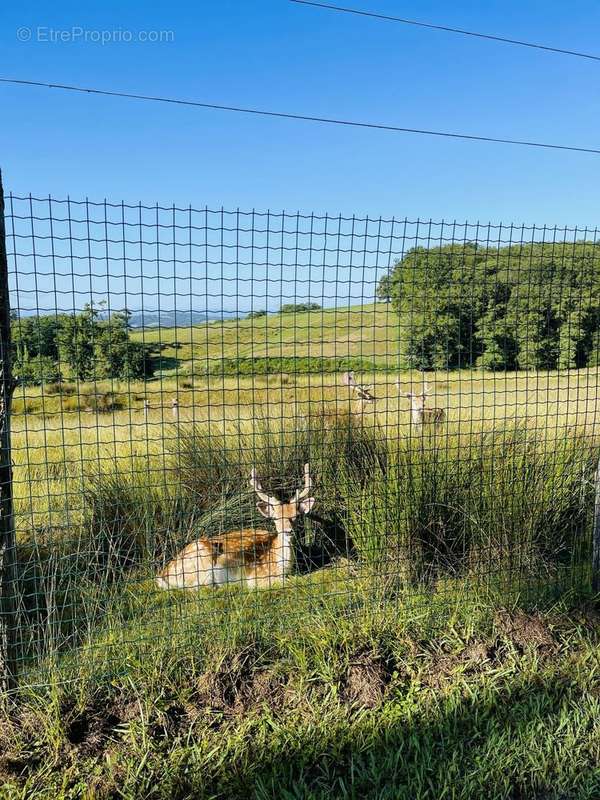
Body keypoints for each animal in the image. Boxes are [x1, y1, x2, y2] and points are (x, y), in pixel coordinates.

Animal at [155, 462, 316, 588]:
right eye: (276, 518)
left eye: (296, 516)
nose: (288, 531)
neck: (279, 566)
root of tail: (162, 575)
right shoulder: (257, 577)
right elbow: (289, 580)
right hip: (201, 560)